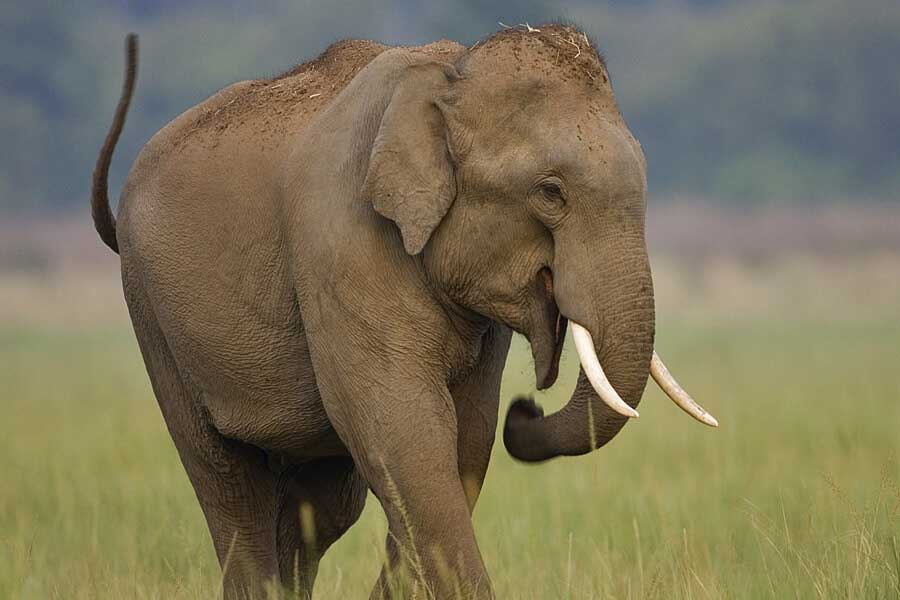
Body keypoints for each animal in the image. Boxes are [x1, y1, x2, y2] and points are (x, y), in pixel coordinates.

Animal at [91, 25, 717, 599]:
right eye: (550, 192)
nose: (527, 409)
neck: (448, 77)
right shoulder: (342, 243)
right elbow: (408, 433)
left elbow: (464, 440)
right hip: (151, 314)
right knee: (228, 485)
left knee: (321, 507)